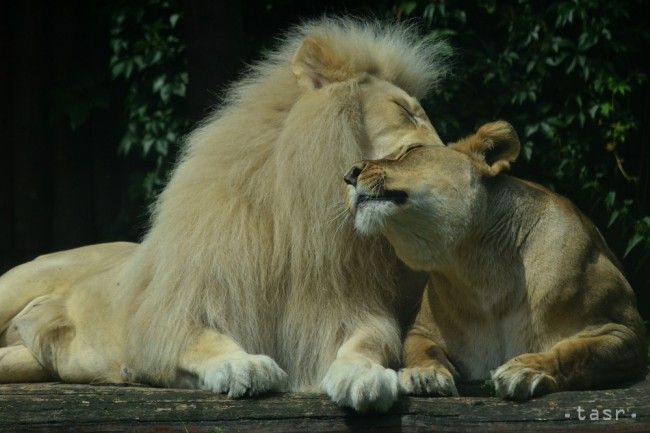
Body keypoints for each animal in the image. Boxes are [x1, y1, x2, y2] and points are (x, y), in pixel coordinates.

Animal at [0, 18, 446, 410]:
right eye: (406, 113)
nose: (450, 156)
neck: (298, 225)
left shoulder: (348, 306)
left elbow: (371, 340)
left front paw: (364, 375)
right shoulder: (165, 316)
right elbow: (199, 338)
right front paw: (243, 366)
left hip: (27, 361)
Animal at [342, 120, 644, 400]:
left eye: (412, 151)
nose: (348, 175)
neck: (480, 273)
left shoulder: (626, 331)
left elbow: (576, 350)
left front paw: (527, 369)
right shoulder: (420, 329)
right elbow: (420, 349)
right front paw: (424, 373)